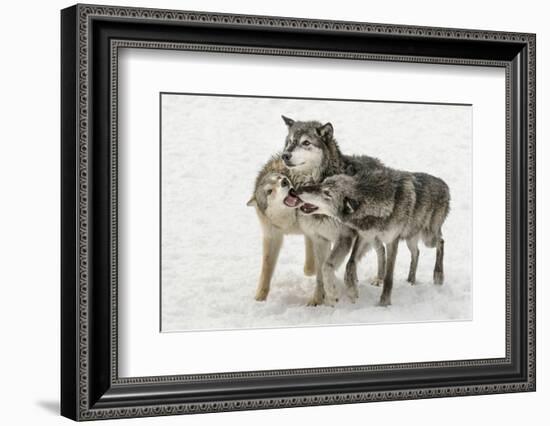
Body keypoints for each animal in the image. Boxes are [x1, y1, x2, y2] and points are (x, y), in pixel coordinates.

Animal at [296, 166, 450, 306]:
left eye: (327, 193)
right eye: (323, 182)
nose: (298, 190)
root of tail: (444, 185)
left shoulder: (391, 241)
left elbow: (389, 277)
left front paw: (384, 303)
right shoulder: (364, 236)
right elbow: (350, 264)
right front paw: (352, 290)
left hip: (428, 238)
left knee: (441, 241)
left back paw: (438, 276)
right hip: (406, 238)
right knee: (415, 252)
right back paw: (410, 280)